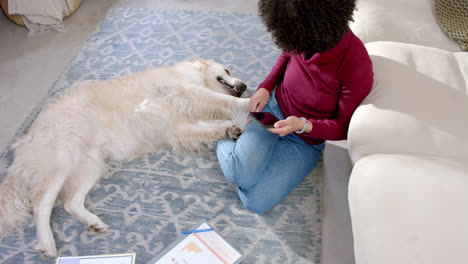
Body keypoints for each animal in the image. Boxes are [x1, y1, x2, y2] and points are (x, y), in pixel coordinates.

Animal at [0, 59, 250, 258]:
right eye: (226, 70)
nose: (245, 86)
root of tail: (27, 138)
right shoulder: (185, 91)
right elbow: (219, 99)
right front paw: (246, 104)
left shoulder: (177, 127)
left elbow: (210, 126)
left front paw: (230, 129)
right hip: (62, 162)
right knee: (41, 205)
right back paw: (48, 245)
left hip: (91, 165)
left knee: (71, 203)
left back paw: (94, 223)